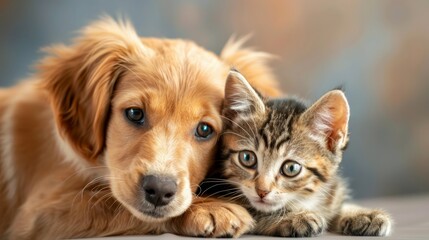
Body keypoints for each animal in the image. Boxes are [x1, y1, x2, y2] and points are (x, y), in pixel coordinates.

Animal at [0, 17, 280, 240]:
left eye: (204, 129)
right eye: (135, 113)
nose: (160, 190)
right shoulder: (37, 215)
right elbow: (108, 203)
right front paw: (208, 208)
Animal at [202, 70, 392, 237]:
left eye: (291, 168)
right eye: (247, 158)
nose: (262, 192)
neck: (304, 199)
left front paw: (360, 213)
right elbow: (251, 210)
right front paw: (295, 217)